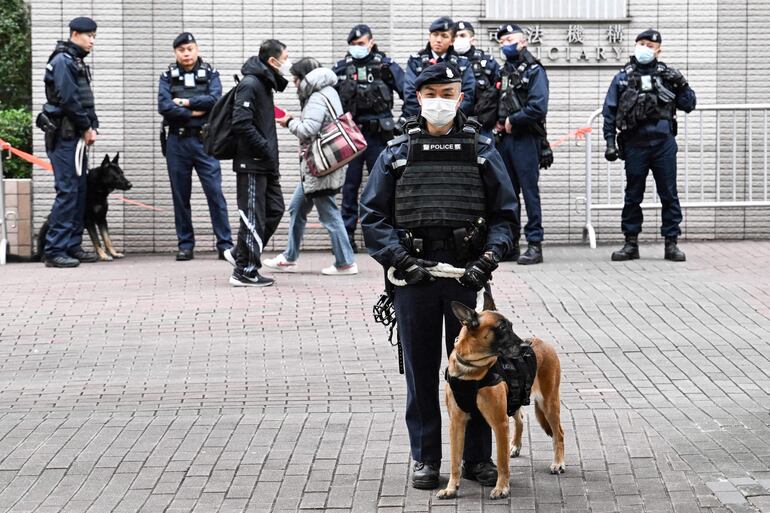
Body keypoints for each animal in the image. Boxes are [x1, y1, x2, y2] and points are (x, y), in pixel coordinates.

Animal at [438, 294, 564, 498]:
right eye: (502, 328)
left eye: (511, 325)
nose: (525, 346)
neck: (471, 369)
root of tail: (542, 342)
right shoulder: (456, 423)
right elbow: (455, 461)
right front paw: (451, 488)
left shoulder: (499, 423)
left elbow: (502, 460)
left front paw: (502, 487)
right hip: (516, 398)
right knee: (520, 418)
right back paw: (516, 445)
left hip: (549, 403)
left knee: (558, 433)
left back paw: (558, 463)